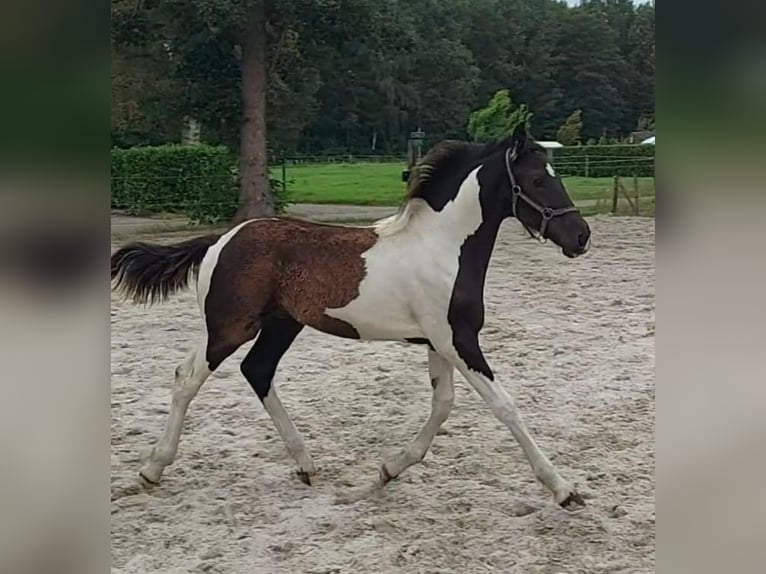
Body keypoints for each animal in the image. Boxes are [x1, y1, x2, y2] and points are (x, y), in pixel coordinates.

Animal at [112, 124, 592, 510]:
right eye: (536, 179)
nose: (581, 236)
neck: (443, 247)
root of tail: (220, 239)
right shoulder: (457, 341)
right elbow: (504, 406)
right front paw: (564, 489)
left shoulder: (440, 343)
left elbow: (442, 406)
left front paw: (388, 470)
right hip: (230, 326)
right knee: (188, 376)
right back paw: (152, 469)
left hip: (282, 324)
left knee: (258, 370)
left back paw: (305, 464)